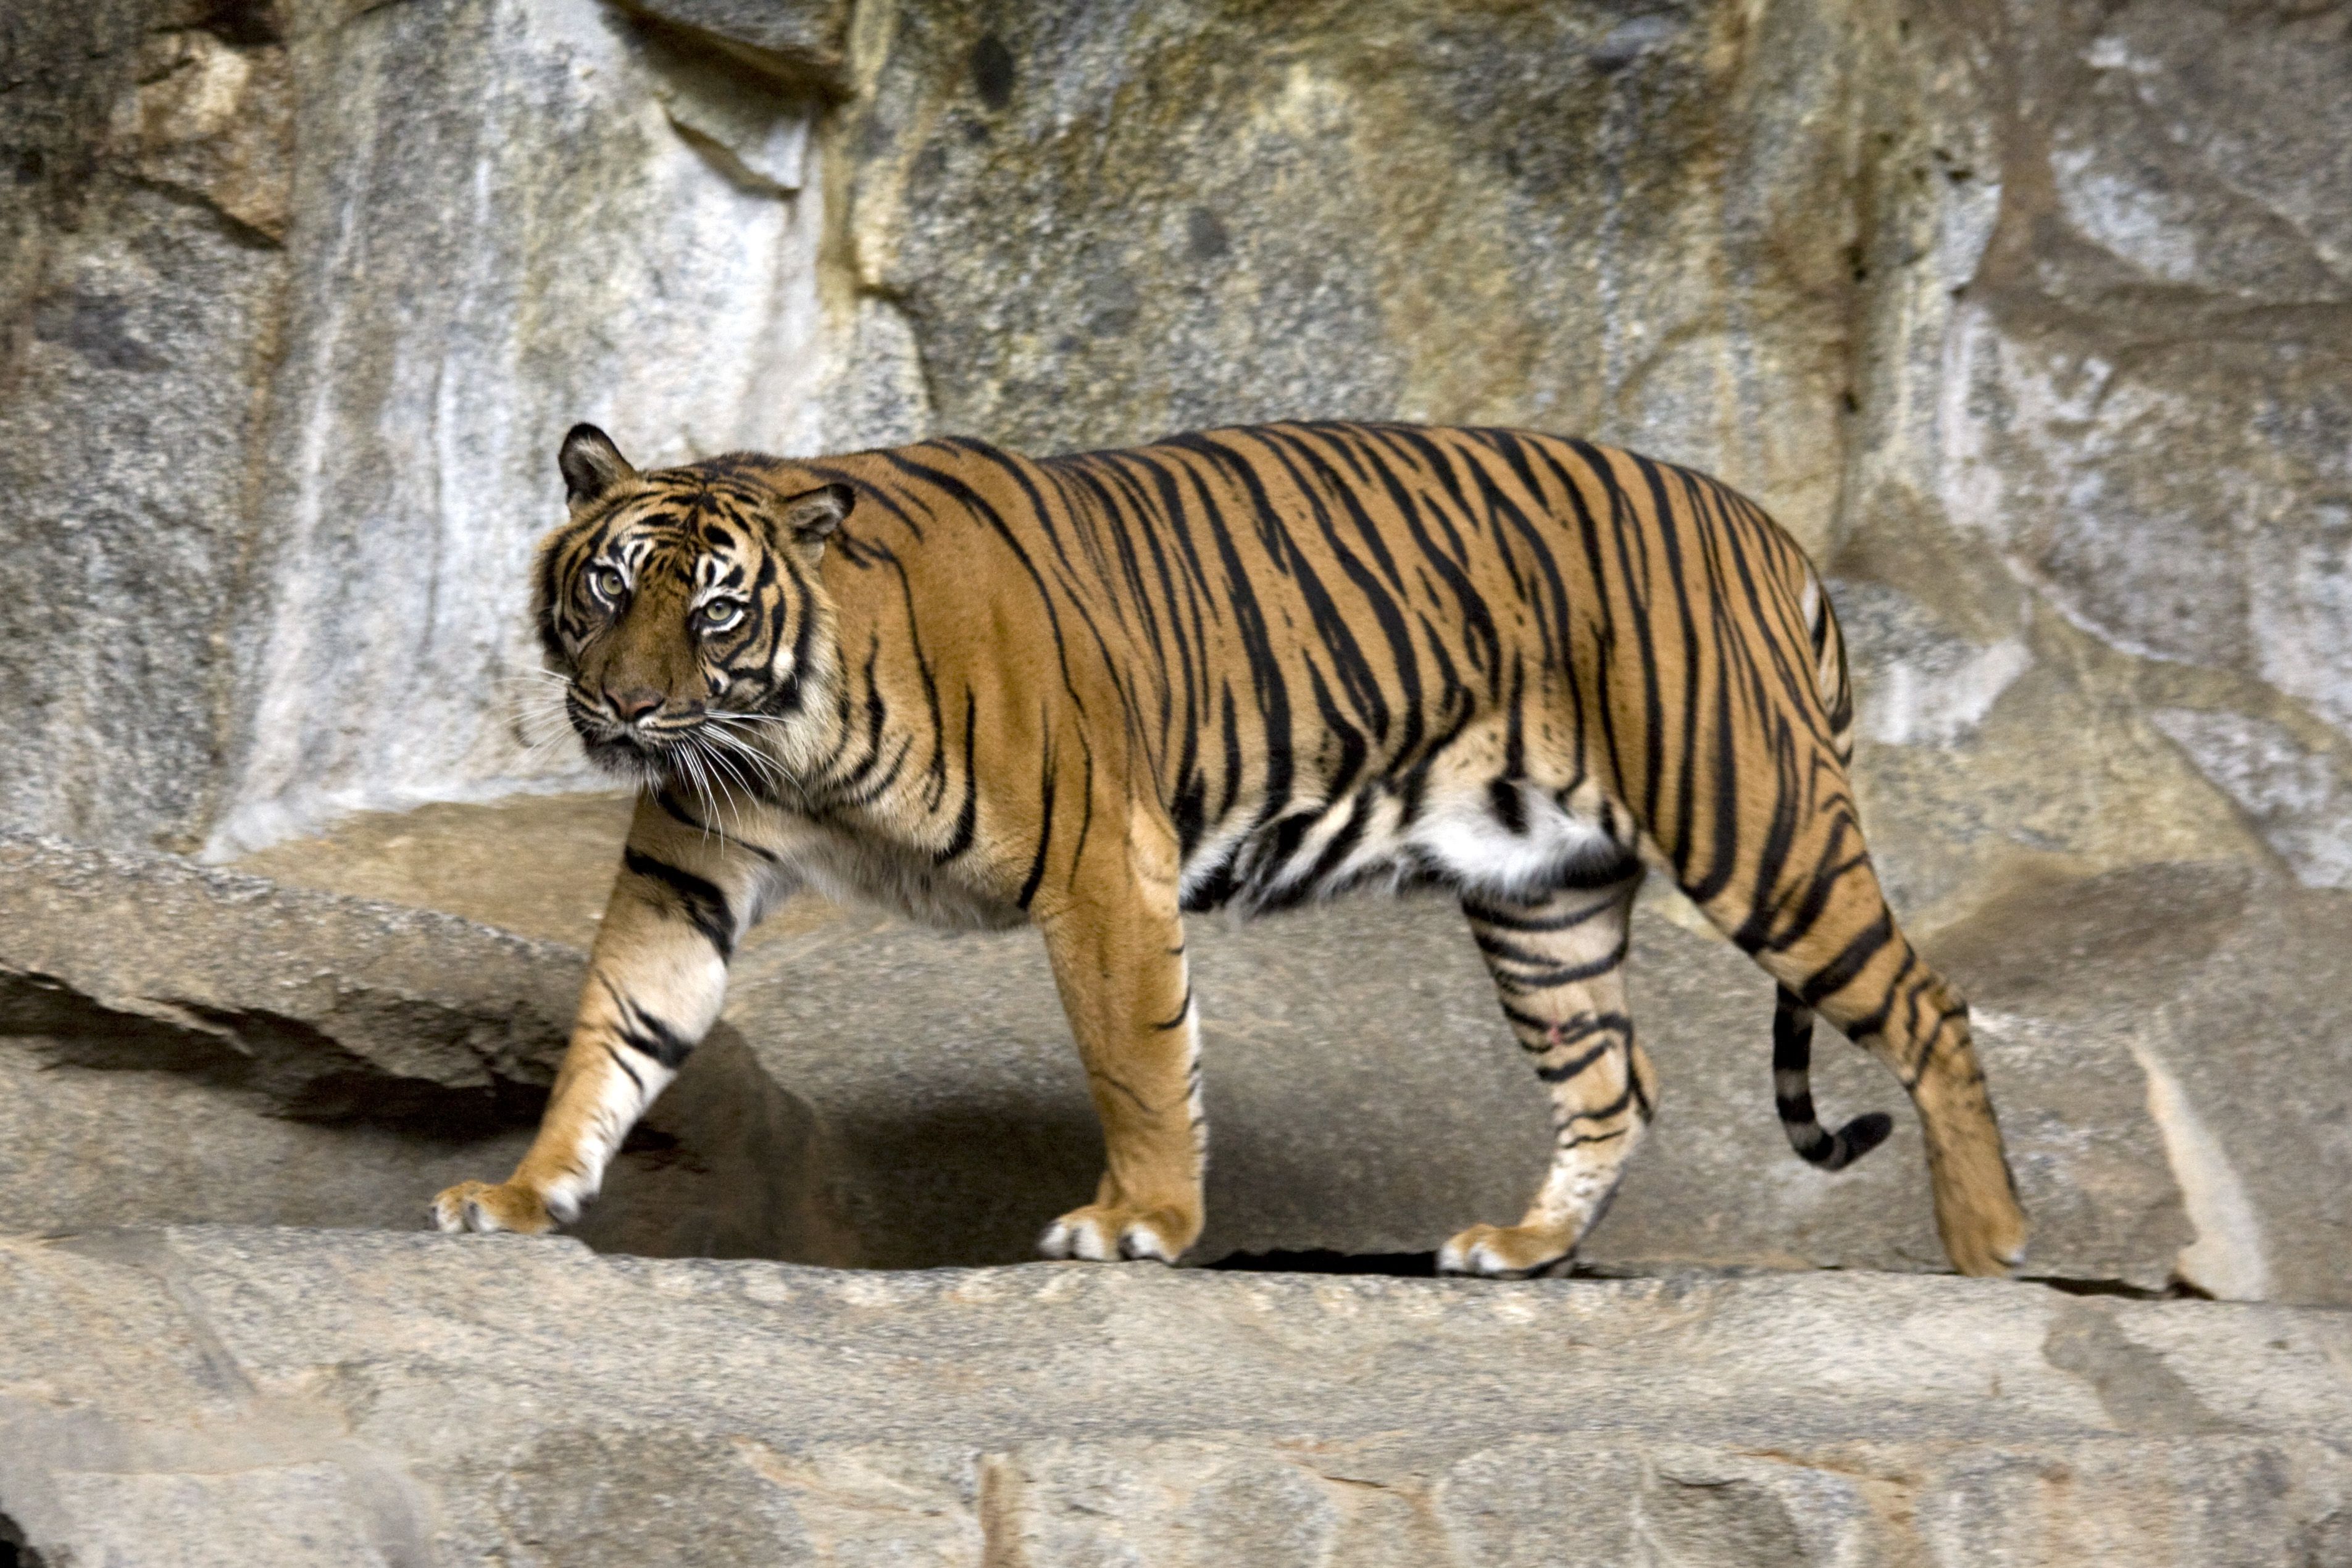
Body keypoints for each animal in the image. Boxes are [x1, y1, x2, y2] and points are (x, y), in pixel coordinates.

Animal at [433, 416, 2032, 1278]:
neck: (785, 737)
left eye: (712, 609)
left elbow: (1138, 1057)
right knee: (1611, 1083)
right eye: (608, 587)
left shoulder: (1099, 857)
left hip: (1753, 820)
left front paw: (1140, 1218)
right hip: (1546, 895)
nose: (627, 706)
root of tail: (1769, 529)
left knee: (1930, 1006)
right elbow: (615, 1032)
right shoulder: (686, 869)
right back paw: (1520, 1250)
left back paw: (1989, 1247)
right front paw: (521, 1194)